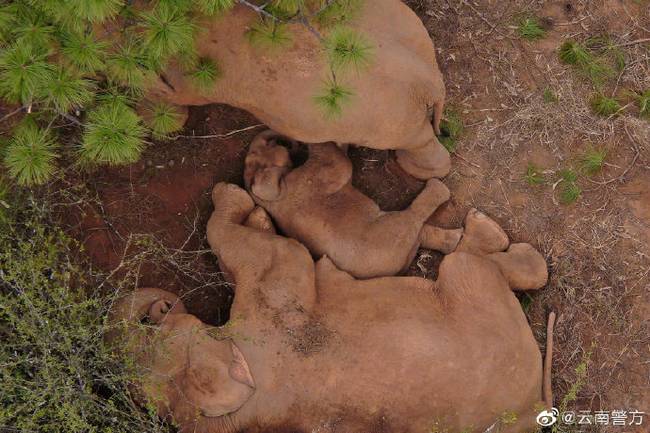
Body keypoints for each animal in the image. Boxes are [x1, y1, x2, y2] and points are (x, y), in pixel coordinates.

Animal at [111, 181, 552, 432]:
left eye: (154, 334)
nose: (161, 306)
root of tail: (534, 406)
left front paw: (253, 210)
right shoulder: (274, 301)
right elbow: (272, 248)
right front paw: (243, 204)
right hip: (474, 290)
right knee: (476, 264)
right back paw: (484, 232)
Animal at [243, 128, 460, 278]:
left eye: (253, 156)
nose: (289, 143)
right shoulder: (312, 181)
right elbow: (341, 164)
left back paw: (454, 239)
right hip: (390, 231)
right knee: (414, 217)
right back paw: (439, 191)